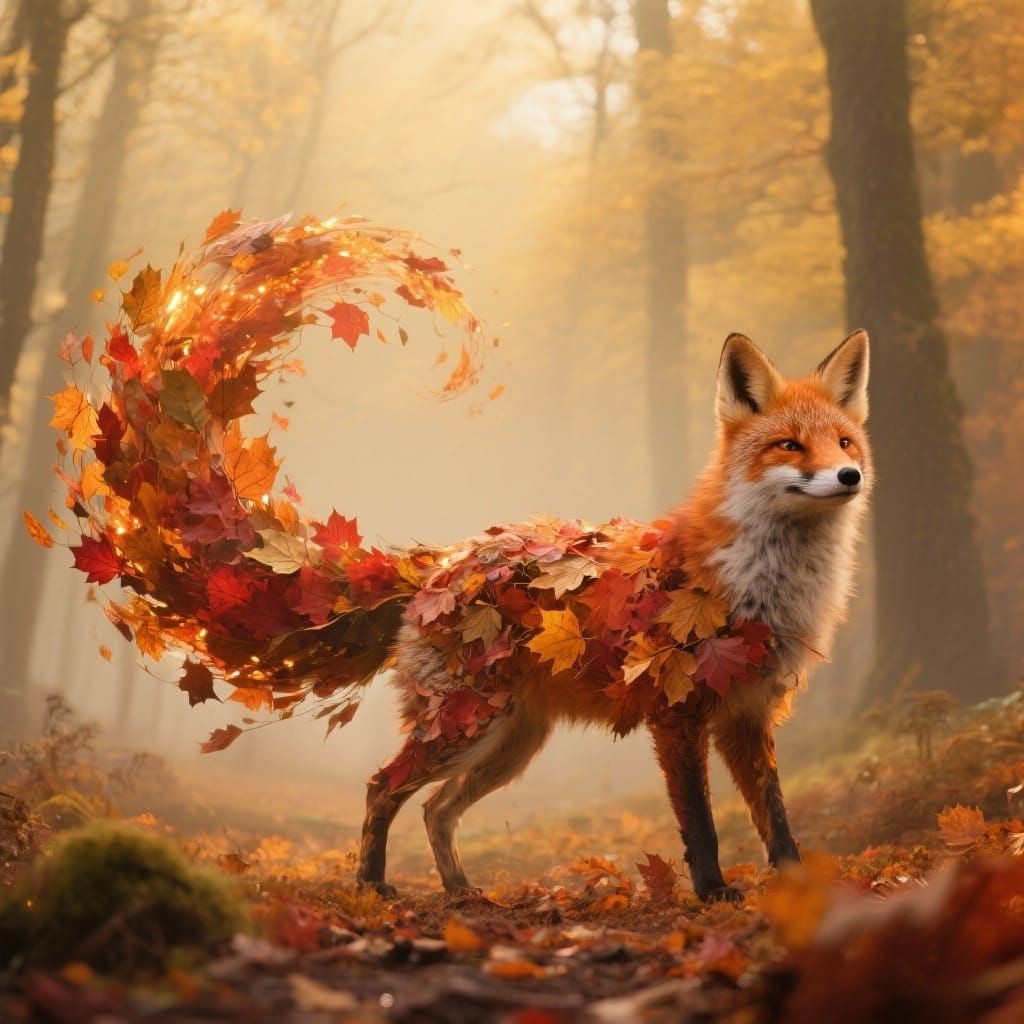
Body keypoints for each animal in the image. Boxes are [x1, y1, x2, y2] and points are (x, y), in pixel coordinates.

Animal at [355, 329, 872, 902]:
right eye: (790, 445)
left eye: (845, 442)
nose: (850, 475)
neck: (760, 586)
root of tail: (443, 566)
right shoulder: (676, 712)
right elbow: (701, 823)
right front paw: (712, 890)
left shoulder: (748, 714)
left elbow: (776, 819)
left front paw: (802, 890)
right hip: (463, 728)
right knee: (381, 789)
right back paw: (371, 883)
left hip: (508, 745)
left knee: (435, 809)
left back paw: (460, 889)